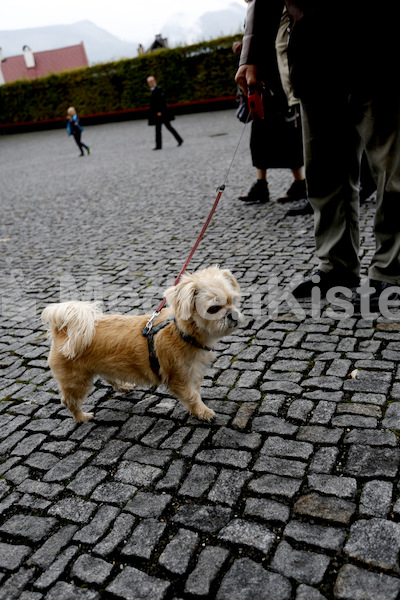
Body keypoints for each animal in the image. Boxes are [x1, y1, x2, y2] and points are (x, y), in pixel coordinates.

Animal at [42, 268, 245, 422]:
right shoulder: (179, 378)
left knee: (109, 377)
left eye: (233, 301)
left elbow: (196, 390)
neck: (182, 332)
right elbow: (192, 396)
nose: (233, 315)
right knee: (69, 401)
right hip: (76, 381)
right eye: (213, 309)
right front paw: (202, 411)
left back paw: (122, 386)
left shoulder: (193, 372)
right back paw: (81, 417)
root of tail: (62, 331)